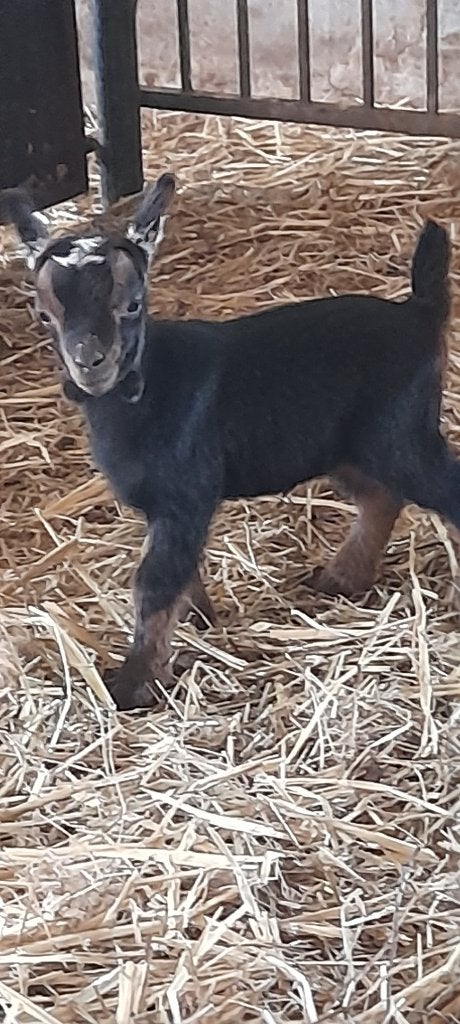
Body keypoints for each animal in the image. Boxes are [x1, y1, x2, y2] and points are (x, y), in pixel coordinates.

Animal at [0, 176, 457, 711]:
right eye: (43, 314)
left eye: (132, 303)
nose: (89, 362)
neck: (150, 385)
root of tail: (421, 314)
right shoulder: (168, 509)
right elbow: (180, 570)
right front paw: (200, 621)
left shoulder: (185, 493)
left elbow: (156, 581)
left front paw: (131, 685)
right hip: (349, 447)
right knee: (380, 498)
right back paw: (341, 579)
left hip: (402, 435)